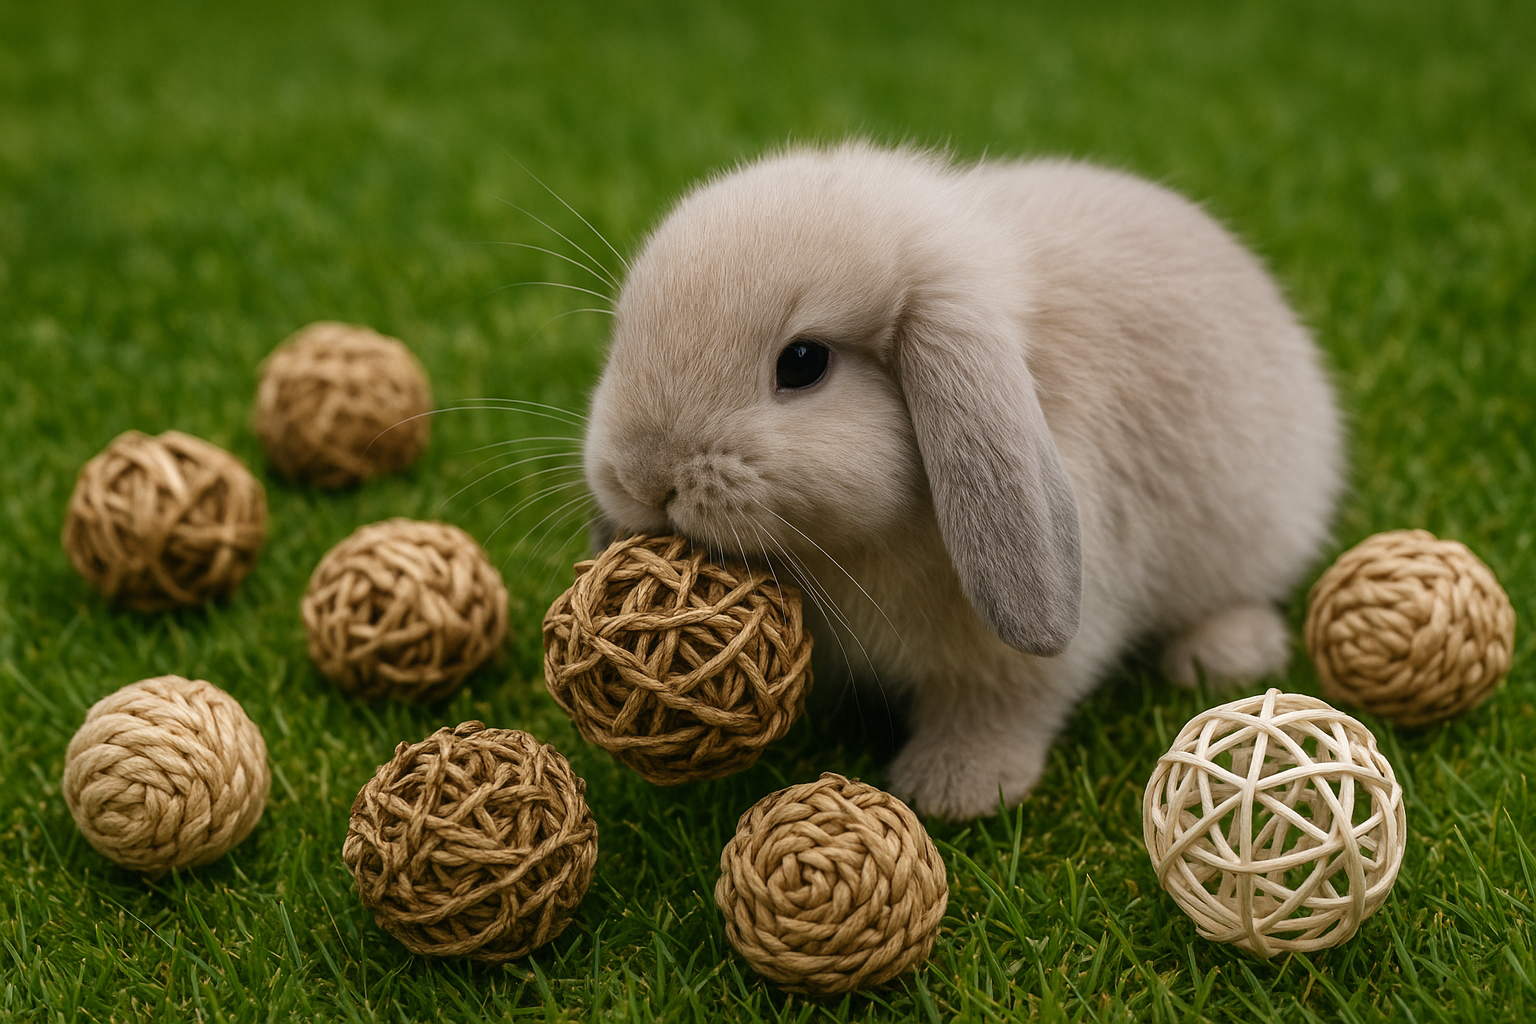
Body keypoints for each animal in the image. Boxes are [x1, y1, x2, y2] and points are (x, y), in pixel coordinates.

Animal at [581, 142, 1343, 820]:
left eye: (803, 362)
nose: (643, 479)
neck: (851, 553)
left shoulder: (1016, 656)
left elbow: (999, 705)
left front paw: (953, 791)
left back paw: (1225, 654)